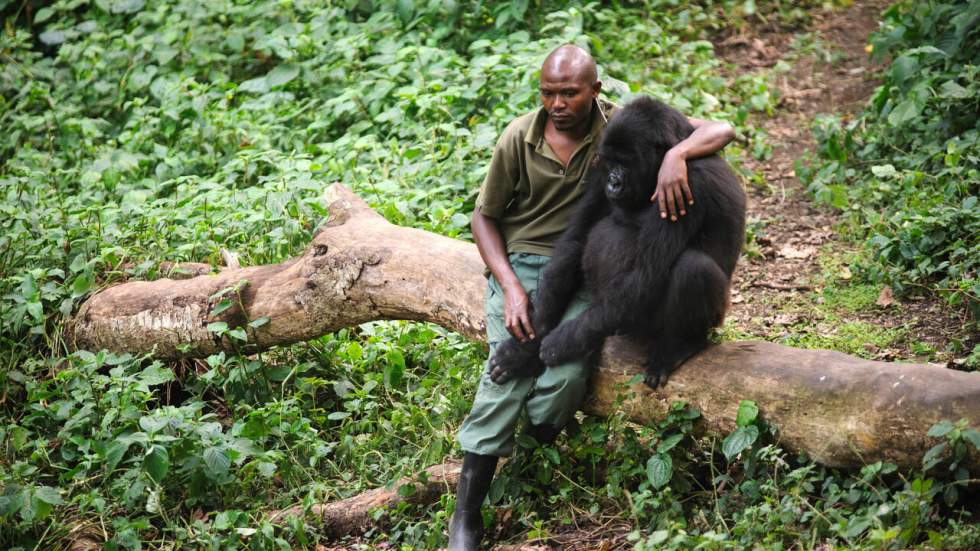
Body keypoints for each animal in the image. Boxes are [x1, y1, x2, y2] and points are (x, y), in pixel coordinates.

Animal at [486, 96, 748, 388]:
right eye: (611, 163)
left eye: (625, 162)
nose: (613, 182)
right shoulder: (598, 167)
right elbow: (575, 240)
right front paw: (525, 348)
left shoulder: (686, 179)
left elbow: (646, 273)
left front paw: (562, 342)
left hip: (709, 319)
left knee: (693, 266)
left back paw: (680, 345)